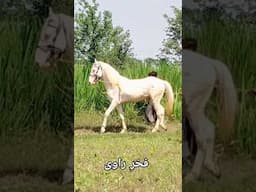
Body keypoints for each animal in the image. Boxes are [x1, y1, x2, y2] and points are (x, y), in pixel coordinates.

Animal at [183, 48, 237, 183]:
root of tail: (209, 62)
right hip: (194, 109)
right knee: (209, 128)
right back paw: (210, 168)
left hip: (193, 108)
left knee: (202, 137)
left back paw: (194, 174)